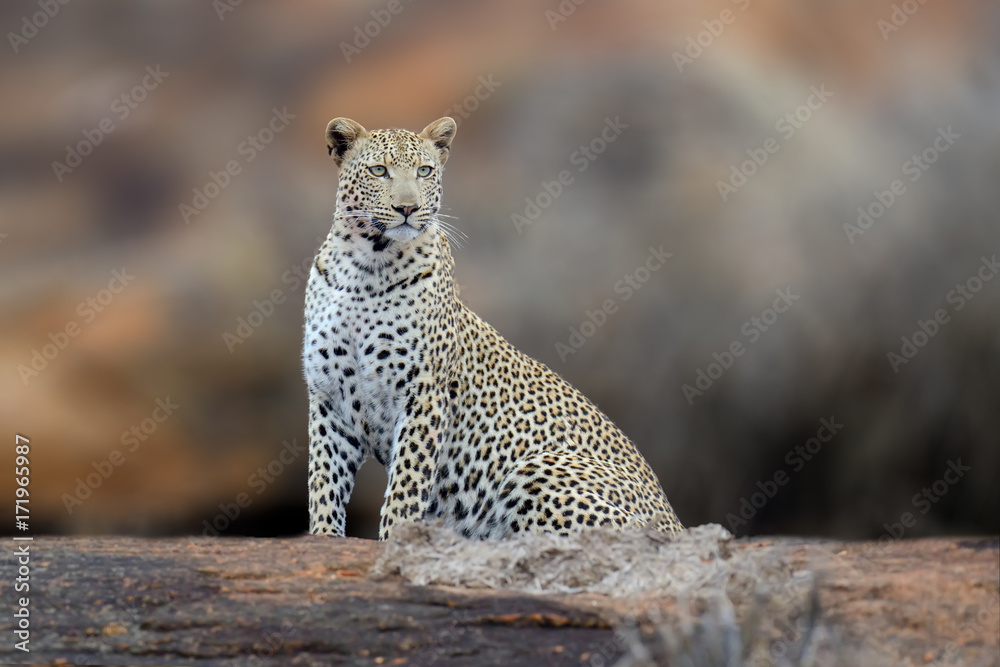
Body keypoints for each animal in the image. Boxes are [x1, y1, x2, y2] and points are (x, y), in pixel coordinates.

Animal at [303, 116, 683, 540]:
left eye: (425, 171)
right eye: (379, 171)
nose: (407, 208)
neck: (366, 267)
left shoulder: (424, 392)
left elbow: (406, 484)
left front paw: (396, 540)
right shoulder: (328, 397)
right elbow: (323, 481)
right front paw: (323, 538)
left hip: (538, 469)